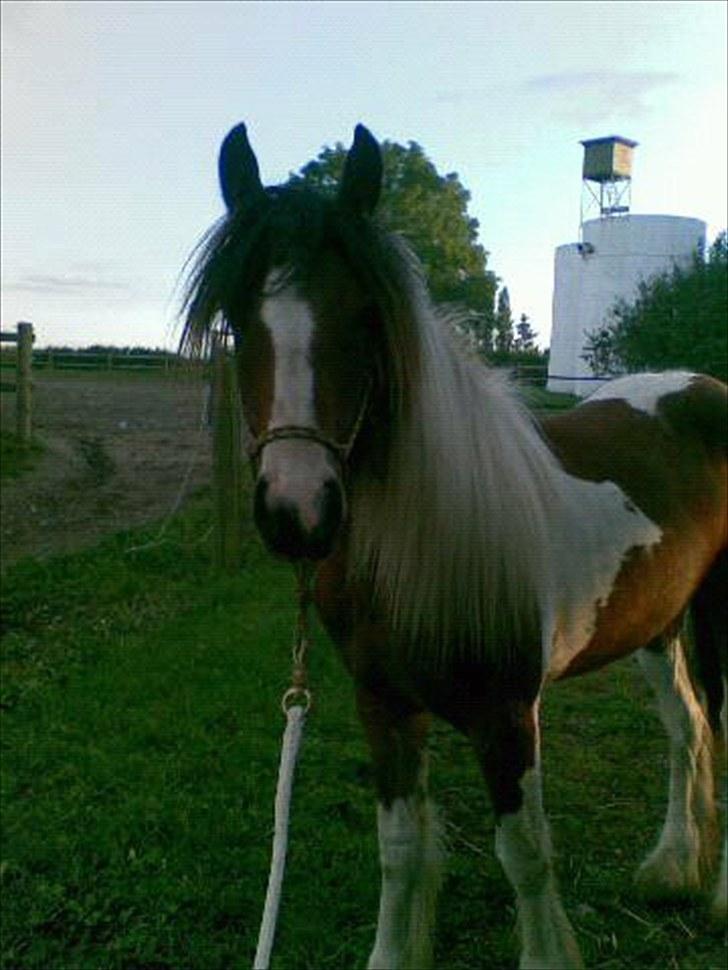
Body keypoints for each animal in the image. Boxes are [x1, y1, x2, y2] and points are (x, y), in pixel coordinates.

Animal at [181, 123, 724, 968]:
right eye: (238, 319)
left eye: (366, 316)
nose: (298, 511)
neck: (425, 545)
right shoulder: (385, 705)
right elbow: (401, 850)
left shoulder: (507, 718)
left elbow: (525, 856)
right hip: (657, 626)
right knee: (686, 730)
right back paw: (671, 867)